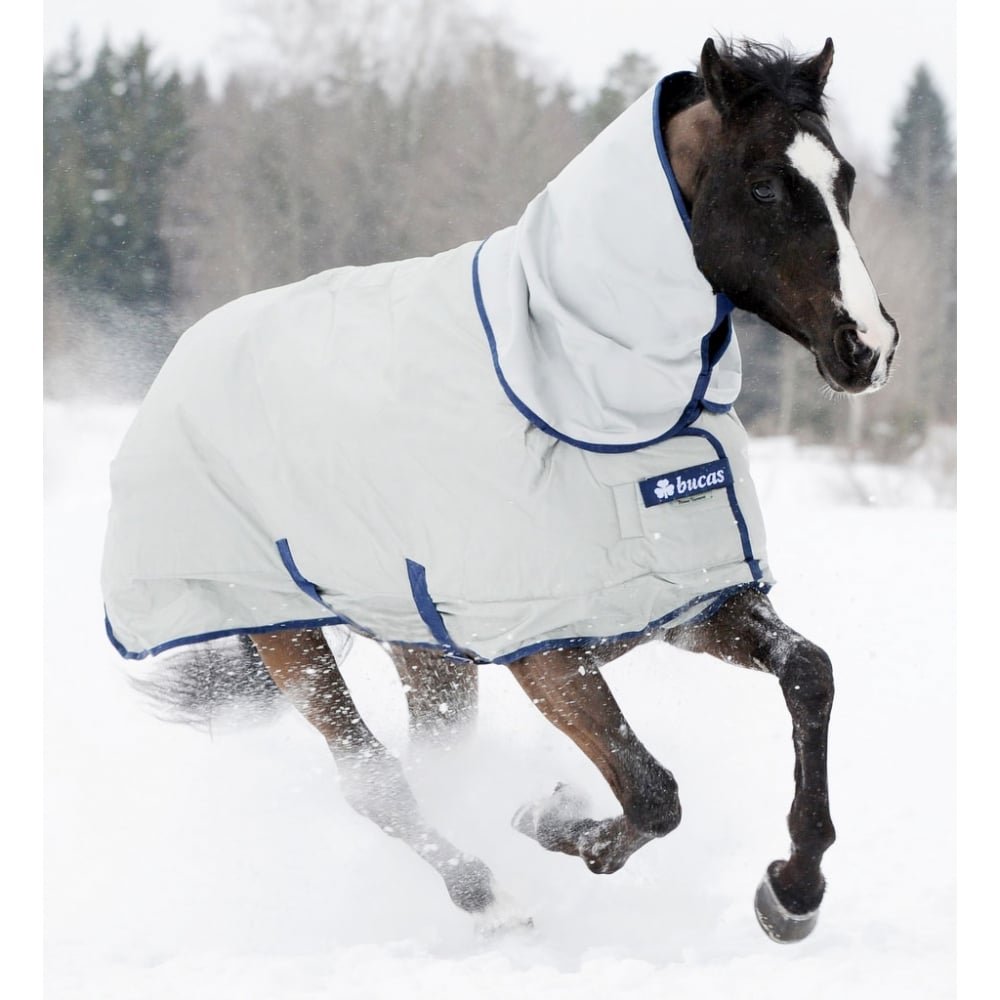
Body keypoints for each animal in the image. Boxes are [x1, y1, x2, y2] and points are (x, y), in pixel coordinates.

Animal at [102, 37, 899, 944]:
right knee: (375, 781)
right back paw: (491, 899)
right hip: (287, 636)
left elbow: (810, 674)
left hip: (425, 650)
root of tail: (186, 357)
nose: (867, 347)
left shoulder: (689, 601)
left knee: (429, 763)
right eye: (764, 185)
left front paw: (792, 893)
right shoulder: (547, 650)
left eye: (844, 179)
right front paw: (551, 819)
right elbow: (652, 794)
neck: (586, 384)